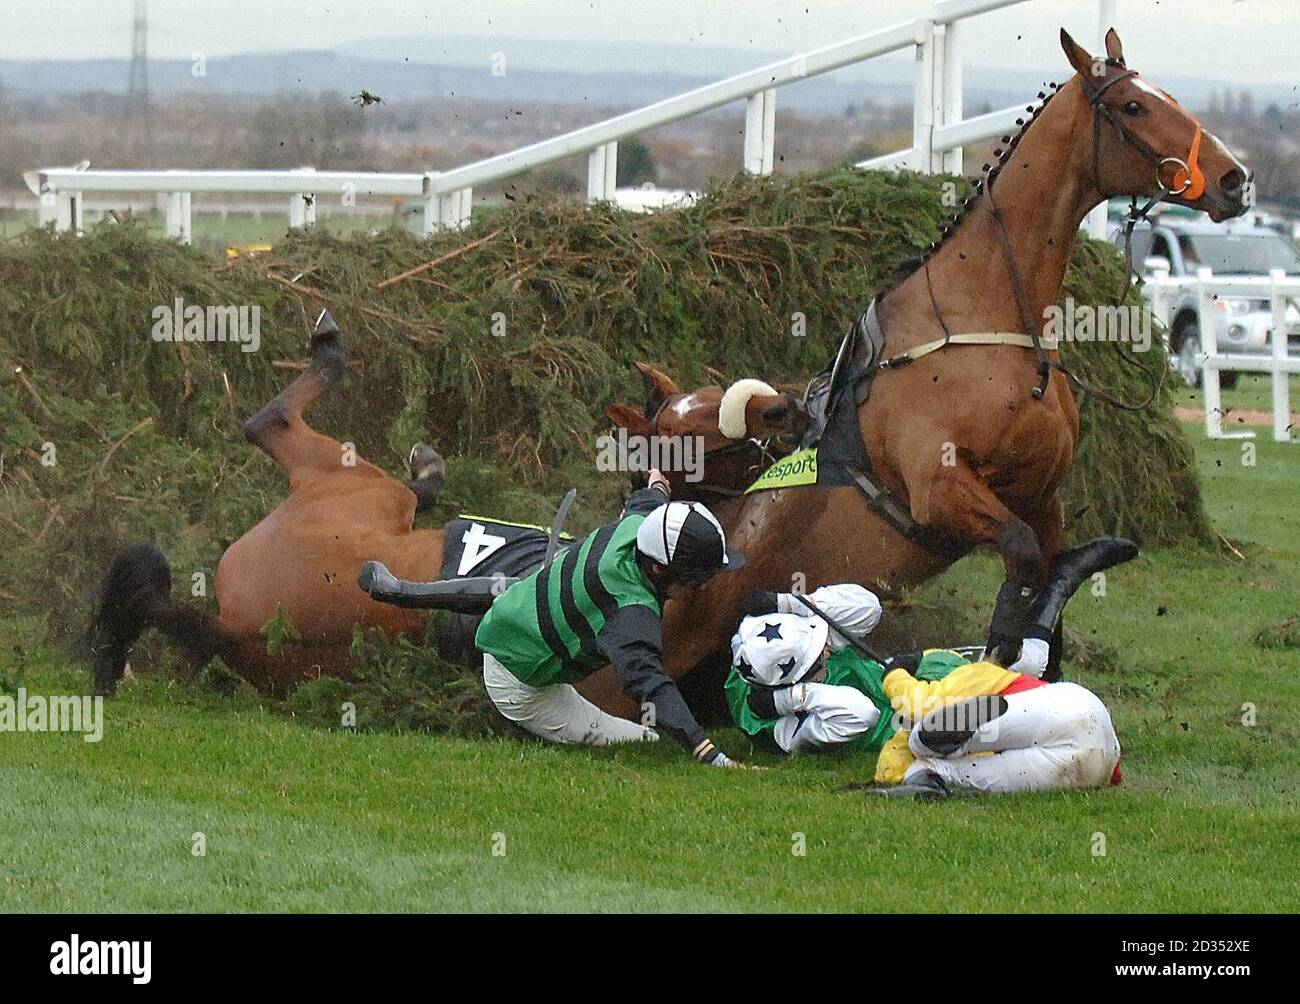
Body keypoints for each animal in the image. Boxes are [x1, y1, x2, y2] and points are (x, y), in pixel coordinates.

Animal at [89, 316, 800, 699]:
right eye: (692, 426)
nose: (784, 407)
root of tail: (236, 627)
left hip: (358, 493)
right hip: (367, 488)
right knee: (268, 422)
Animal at [573, 28, 1251, 718]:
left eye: (1167, 95)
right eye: (1134, 107)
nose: (1235, 179)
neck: (984, 324)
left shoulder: (1042, 496)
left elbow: (1047, 575)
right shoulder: (942, 488)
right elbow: (1020, 560)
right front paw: (995, 665)